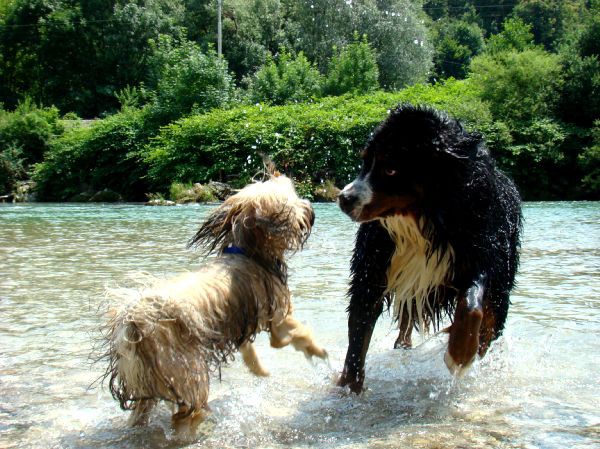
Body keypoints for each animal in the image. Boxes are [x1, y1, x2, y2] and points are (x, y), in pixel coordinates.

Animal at [104, 173, 328, 436]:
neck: (247, 252)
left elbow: (250, 351)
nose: (311, 209)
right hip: (184, 371)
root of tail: (135, 322)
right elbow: (297, 334)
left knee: (142, 411)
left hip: (145, 377)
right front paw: (317, 350)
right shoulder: (278, 314)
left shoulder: (241, 321)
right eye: (292, 200)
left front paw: (260, 370)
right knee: (186, 414)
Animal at [338, 104, 520, 392]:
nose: (345, 199)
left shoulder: (481, 252)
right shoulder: (373, 266)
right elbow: (359, 332)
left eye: (391, 169)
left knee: (493, 322)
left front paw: (460, 354)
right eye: (365, 160)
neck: (423, 221)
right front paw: (349, 388)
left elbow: (472, 305)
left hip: (502, 281)